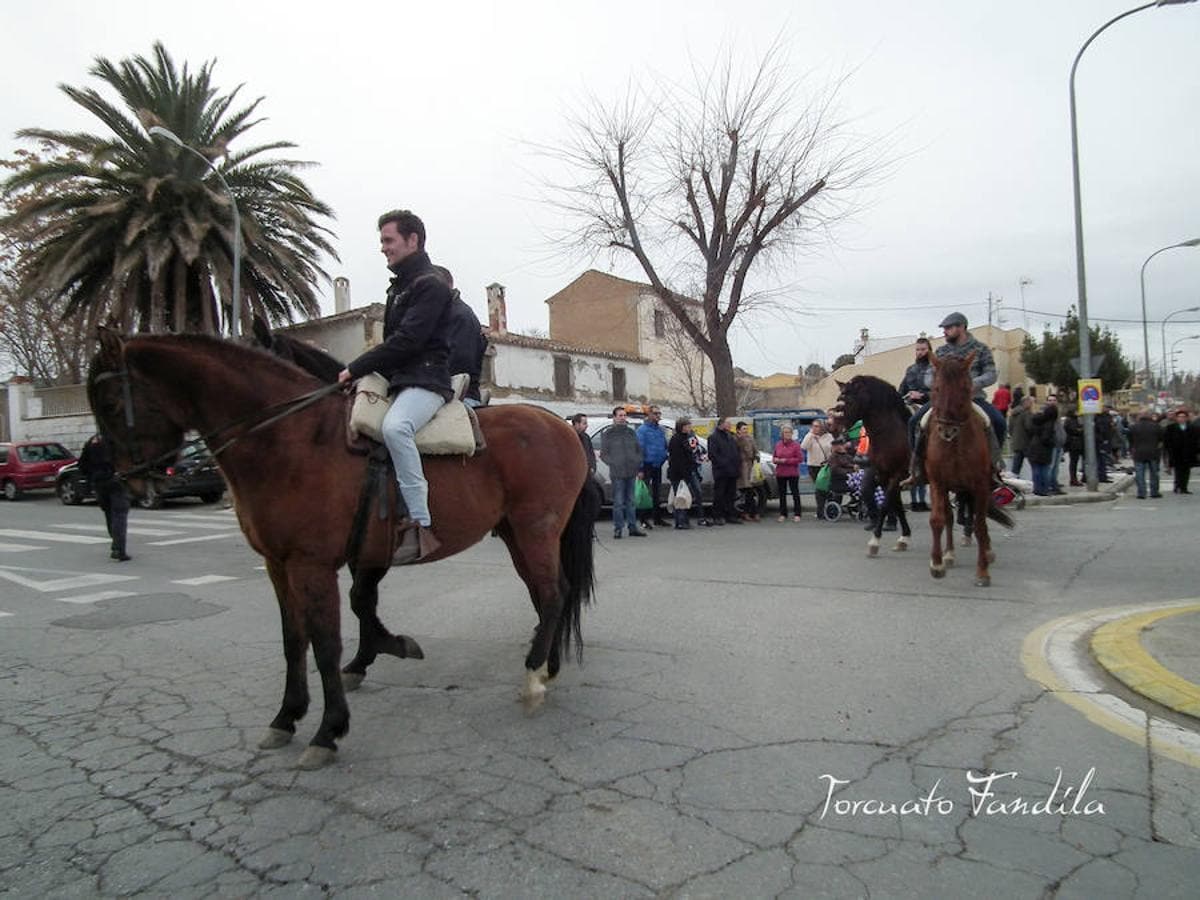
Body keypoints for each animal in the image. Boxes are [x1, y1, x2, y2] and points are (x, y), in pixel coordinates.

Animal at [88, 328, 600, 768]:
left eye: (112, 402)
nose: (130, 482)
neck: (291, 439)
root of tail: (560, 425)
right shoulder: (282, 565)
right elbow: (298, 637)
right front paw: (288, 715)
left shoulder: (314, 566)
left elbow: (327, 642)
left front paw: (328, 729)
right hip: (516, 533)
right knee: (548, 594)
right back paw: (546, 665)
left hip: (534, 530)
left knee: (552, 594)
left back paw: (533, 679)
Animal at [830, 374, 912, 556]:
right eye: (838, 399)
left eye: (848, 401)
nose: (836, 430)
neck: (889, 434)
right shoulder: (883, 475)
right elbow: (896, 505)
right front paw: (904, 538)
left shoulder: (897, 474)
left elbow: (886, 504)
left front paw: (875, 541)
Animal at [921, 348, 1008, 588]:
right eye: (936, 388)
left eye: (966, 388)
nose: (947, 430)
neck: (955, 445)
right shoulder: (937, 482)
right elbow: (938, 519)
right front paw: (937, 564)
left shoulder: (979, 485)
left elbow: (979, 525)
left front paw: (982, 572)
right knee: (950, 517)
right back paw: (949, 554)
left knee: (979, 520)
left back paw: (987, 552)